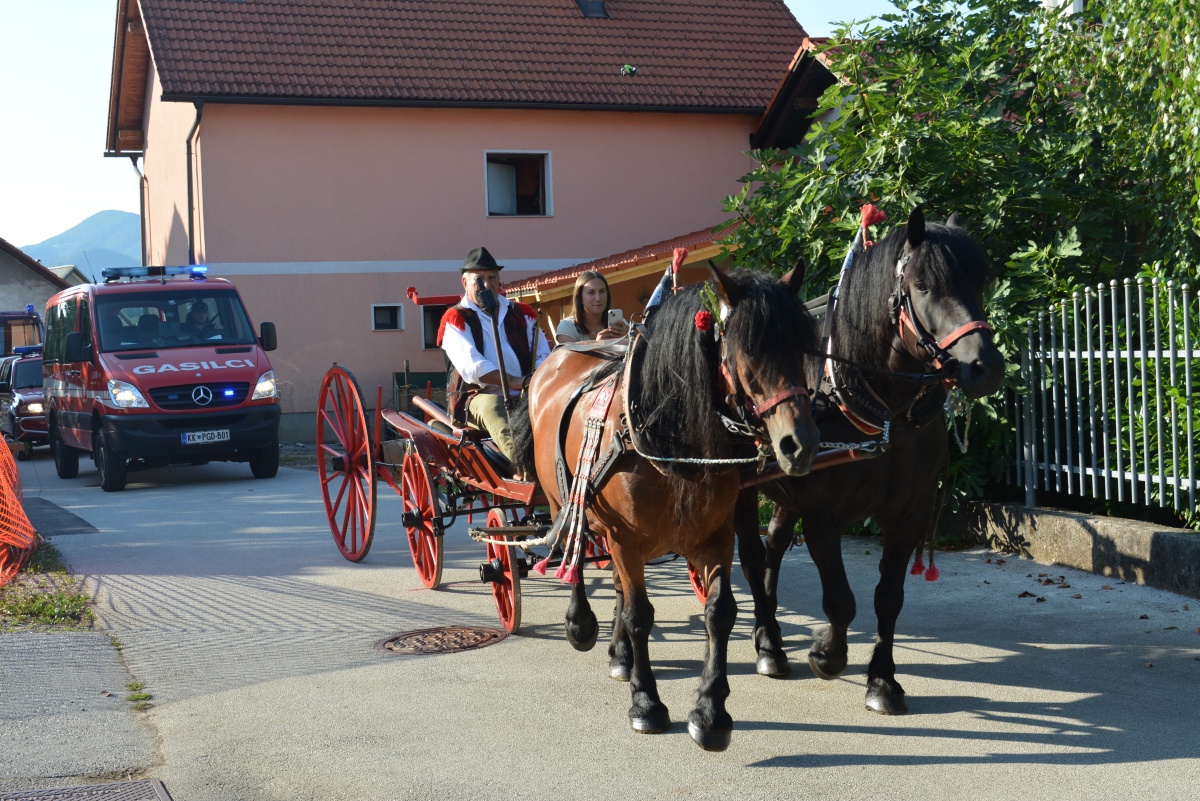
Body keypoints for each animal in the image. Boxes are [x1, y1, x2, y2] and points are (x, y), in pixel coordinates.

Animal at [511, 266, 820, 748]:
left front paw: (711, 712)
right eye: (747, 349)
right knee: (573, 553)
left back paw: (620, 653)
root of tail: (554, 360)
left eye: (802, 345)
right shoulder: (625, 537)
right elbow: (640, 615)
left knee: (616, 582)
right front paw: (646, 703)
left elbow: (719, 613)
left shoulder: (716, 534)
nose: (799, 444)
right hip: (567, 500)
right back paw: (581, 624)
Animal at [734, 206, 1008, 714]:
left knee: (774, 547)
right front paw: (827, 654)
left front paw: (882, 681)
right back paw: (767, 644)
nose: (985, 368)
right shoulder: (821, 514)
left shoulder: (909, 512)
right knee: (751, 557)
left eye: (979, 280)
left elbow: (889, 598)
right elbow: (841, 600)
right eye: (923, 285)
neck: (883, 411)